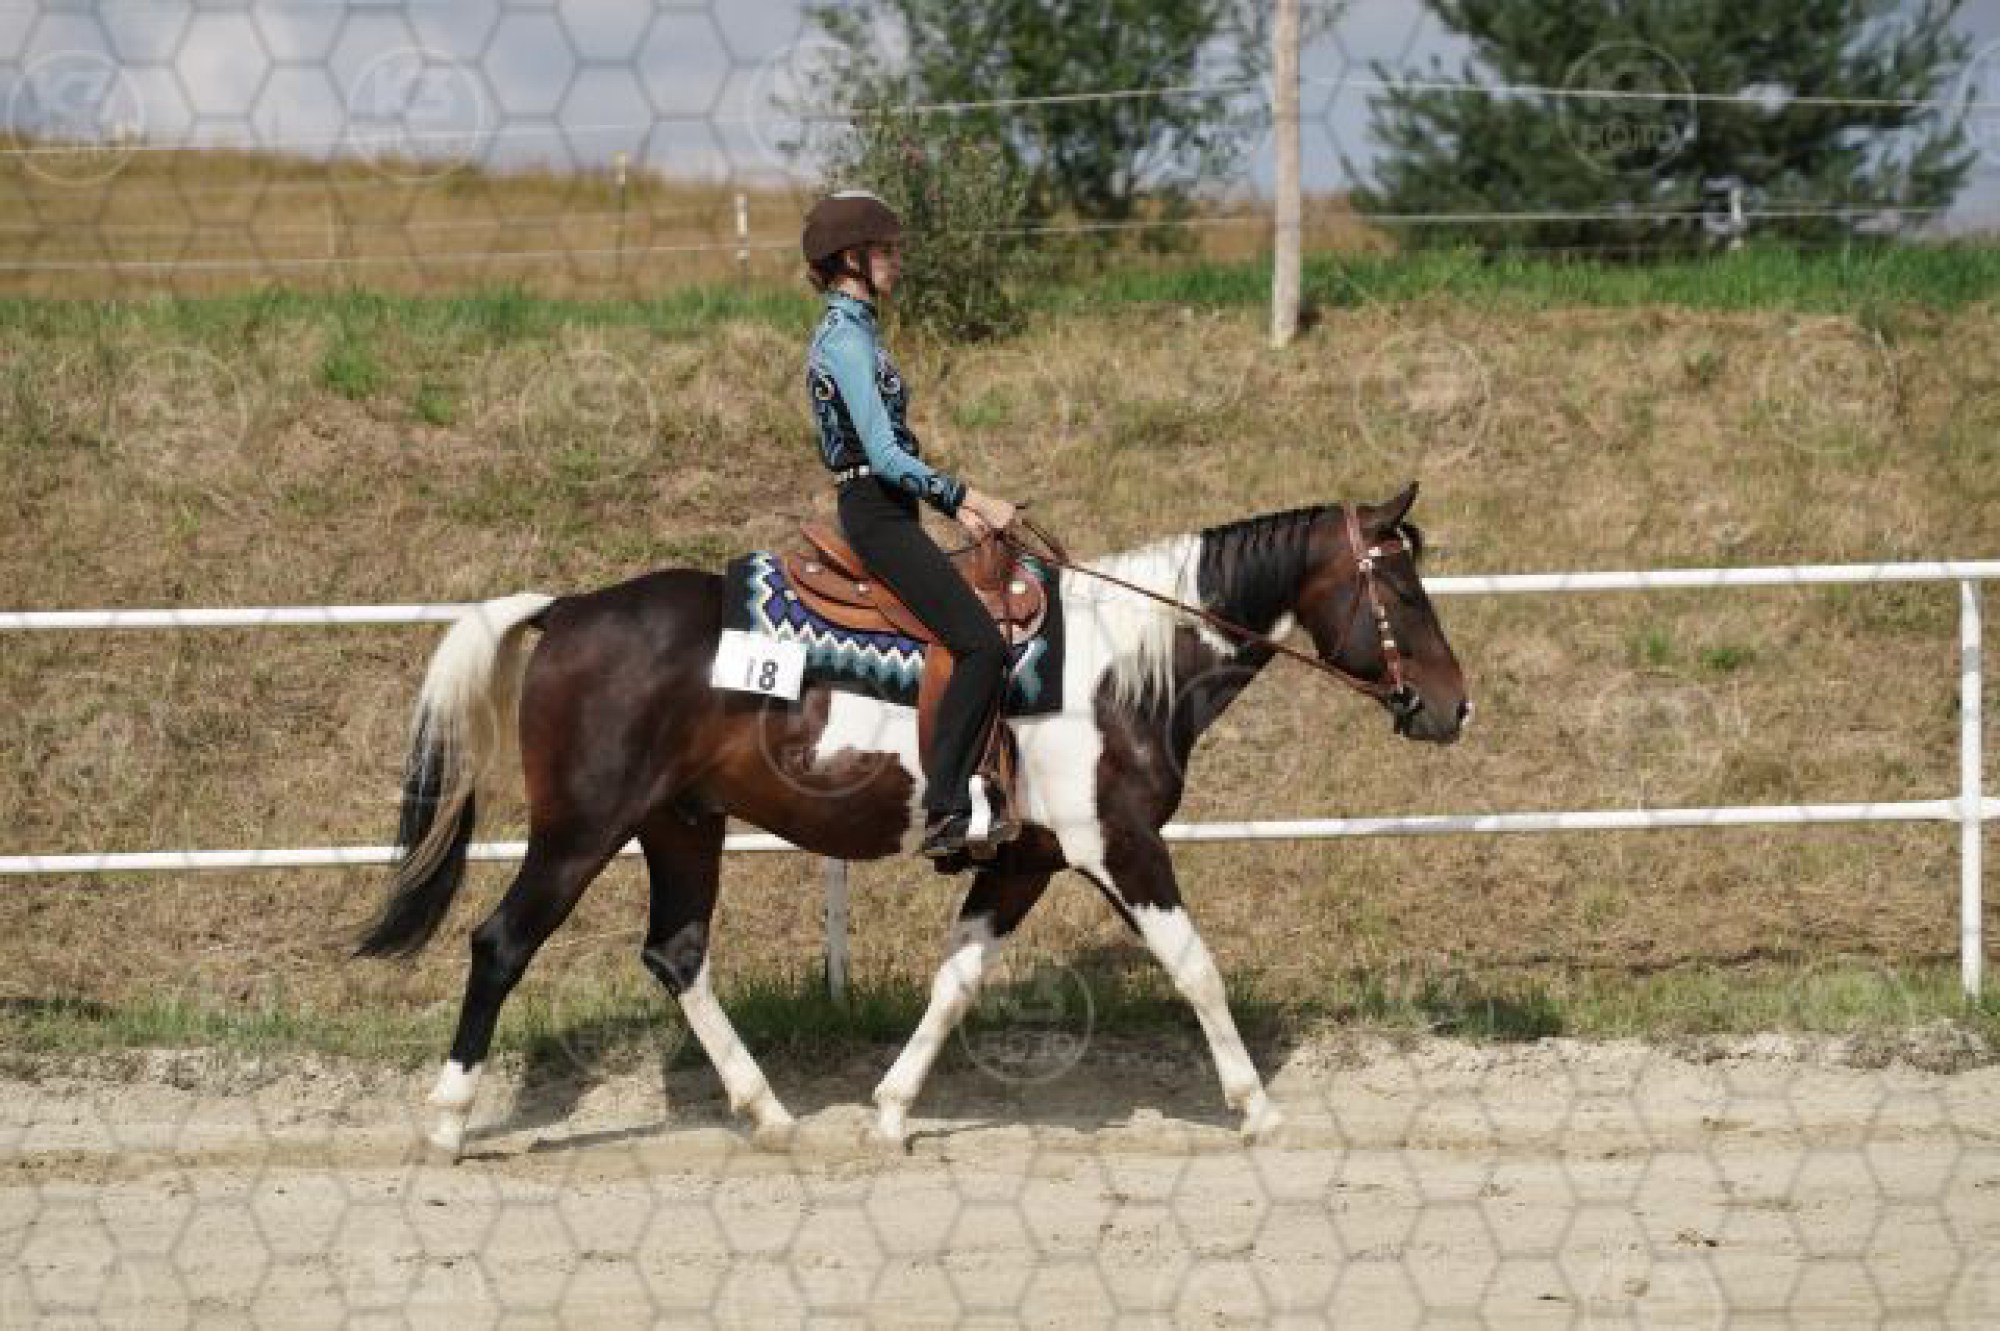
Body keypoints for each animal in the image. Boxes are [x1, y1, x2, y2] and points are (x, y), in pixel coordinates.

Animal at [355, 482, 1469, 1158]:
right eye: (1403, 588)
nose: (1453, 706)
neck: (1124, 666)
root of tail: (573, 607)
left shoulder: (1023, 860)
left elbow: (957, 980)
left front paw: (891, 1110)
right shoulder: (1119, 845)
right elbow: (1196, 966)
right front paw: (1257, 1107)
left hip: (680, 823)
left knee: (676, 953)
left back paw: (769, 1113)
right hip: (582, 827)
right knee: (502, 941)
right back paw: (448, 1123)